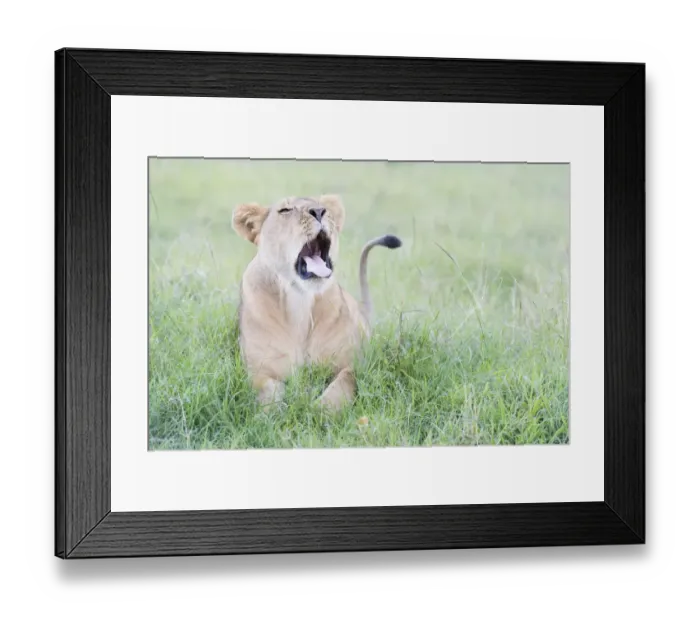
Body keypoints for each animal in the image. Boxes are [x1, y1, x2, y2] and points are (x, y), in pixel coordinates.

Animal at [232, 194, 401, 411]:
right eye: (285, 210)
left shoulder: (352, 364)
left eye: (324, 207)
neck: (299, 300)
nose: (319, 212)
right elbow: (267, 393)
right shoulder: (259, 370)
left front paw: (320, 411)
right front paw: (274, 413)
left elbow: (343, 384)